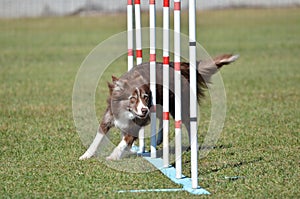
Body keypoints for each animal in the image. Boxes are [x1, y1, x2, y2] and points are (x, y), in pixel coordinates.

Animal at [79, 53, 239, 161]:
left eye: (145, 97)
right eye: (132, 98)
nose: (144, 110)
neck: (127, 112)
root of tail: (177, 66)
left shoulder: (138, 123)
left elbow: (124, 141)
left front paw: (114, 155)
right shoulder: (109, 117)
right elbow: (97, 138)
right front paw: (86, 155)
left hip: (177, 106)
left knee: (188, 123)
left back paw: (193, 146)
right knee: (163, 119)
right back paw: (158, 139)